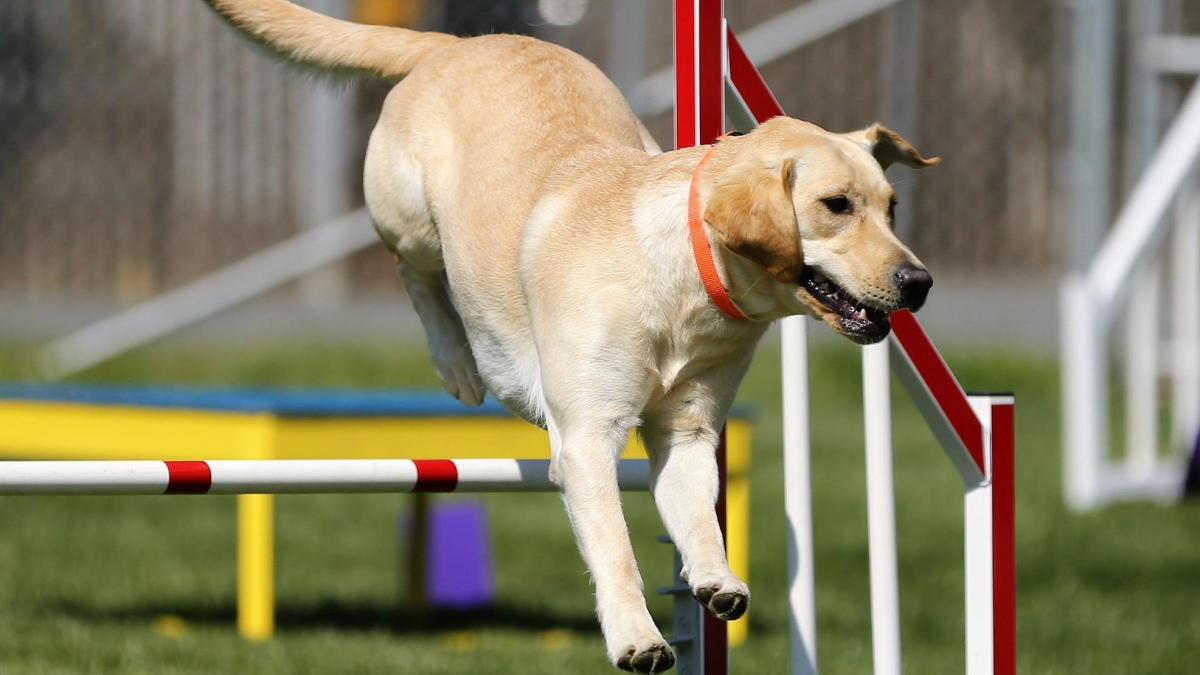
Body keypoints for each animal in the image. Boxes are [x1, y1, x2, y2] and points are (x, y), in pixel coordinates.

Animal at [204, 2, 936, 667]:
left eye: (892, 207)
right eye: (836, 205)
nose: (920, 281)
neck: (683, 281)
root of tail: (460, 42)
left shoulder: (688, 431)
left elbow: (701, 519)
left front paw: (715, 578)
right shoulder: (587, 438)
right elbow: (615, 547)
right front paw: (639, 639)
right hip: (406, 215)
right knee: (415, 274)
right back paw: (457, 363)